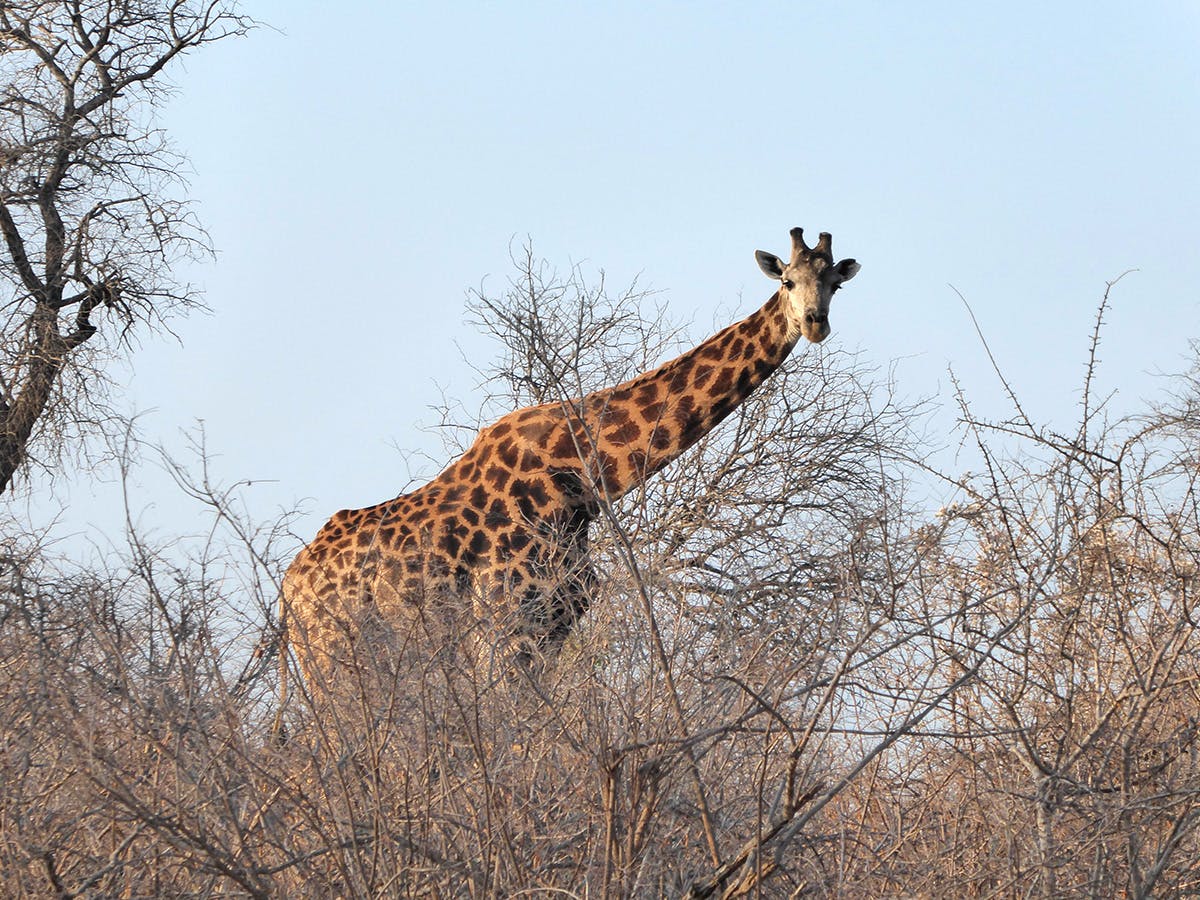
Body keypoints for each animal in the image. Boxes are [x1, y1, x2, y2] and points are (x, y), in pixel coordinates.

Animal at [281, 227, 859, 688]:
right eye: (787, 282)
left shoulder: (556, 625)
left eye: (835, 283)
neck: (582, 478)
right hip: (331, 659)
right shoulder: (504, 626)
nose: (815, 323)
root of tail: (289, 588)